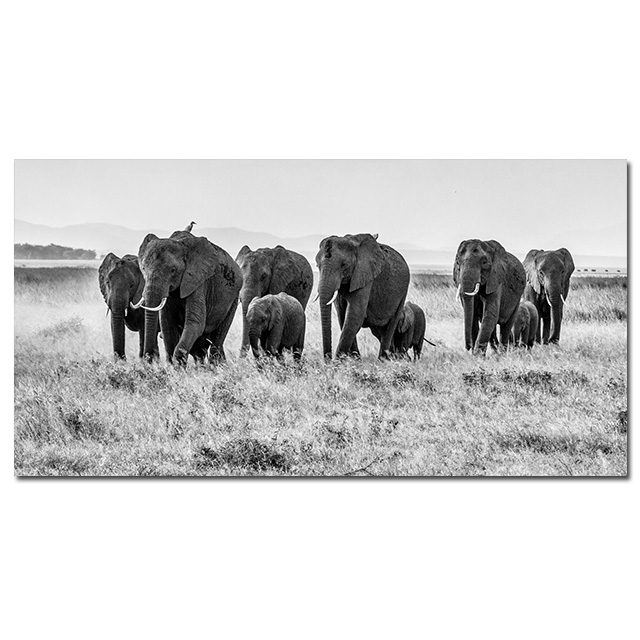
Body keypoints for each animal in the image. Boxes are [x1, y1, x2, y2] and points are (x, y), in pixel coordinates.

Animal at [136, 230, 243, 365]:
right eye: (143, 268)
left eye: (173, 270)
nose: (148, 358)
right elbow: (167, 325)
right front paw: (173, 367)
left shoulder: (198, 281)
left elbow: (195, 323)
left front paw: (178, 365)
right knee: (200, 351)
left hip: (233, 299)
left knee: (217, 341)